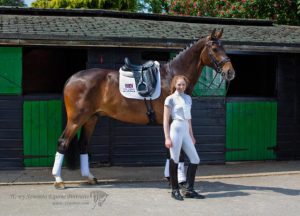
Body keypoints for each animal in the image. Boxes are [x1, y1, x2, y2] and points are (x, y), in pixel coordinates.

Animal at [51, 29, 236, 189]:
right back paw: (59, 180)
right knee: (63, 142)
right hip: (77, 119)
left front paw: (170, 178)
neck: (173, 78)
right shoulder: (171, 121)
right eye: (214, 48)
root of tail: (72, 78)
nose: (230, 72)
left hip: (91, 118)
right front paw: (179, 181)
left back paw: (89, 177)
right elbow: (177, 152)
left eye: (224, 48)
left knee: (83, 145)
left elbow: (169, 151)